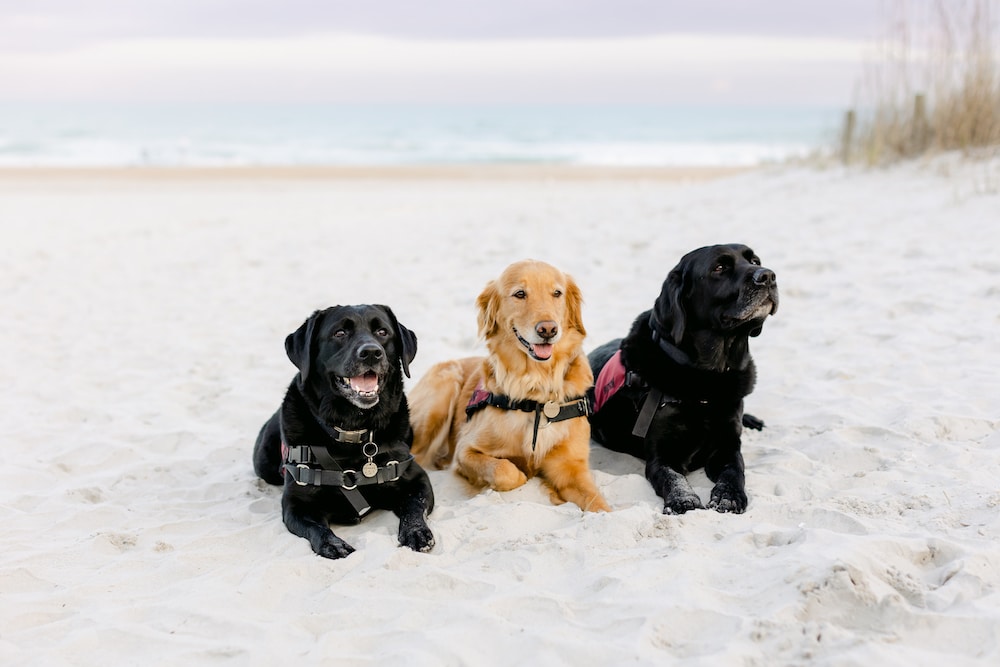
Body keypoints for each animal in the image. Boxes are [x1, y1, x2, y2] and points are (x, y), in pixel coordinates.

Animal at [252, 306, 436, 560]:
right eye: (339, 333)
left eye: (382, 332)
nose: (371, 352)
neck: (352, 431)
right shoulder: (297, 504)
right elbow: (316, 527)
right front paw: (332, 543)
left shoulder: (417, 479)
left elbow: (414, 507)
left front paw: (416, 532)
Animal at [584, 245, 780, 516]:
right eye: (719, 268)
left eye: (755, 261)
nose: (768, 276)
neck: (708, 379)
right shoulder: (661, 456)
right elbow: (672, 477)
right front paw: (683, 499)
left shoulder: (727, 446)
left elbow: (734, 471)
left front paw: (728, 497)